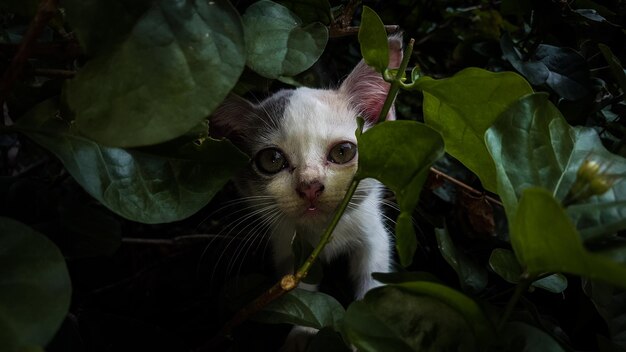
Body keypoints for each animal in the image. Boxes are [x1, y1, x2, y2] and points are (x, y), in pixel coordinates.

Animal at [211, 35, 400, 304]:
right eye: (271, 159)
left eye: (343, 152)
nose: (310, 185)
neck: (323, 232)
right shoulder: (287, 251)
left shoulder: (374, 233)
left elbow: (373, 276)